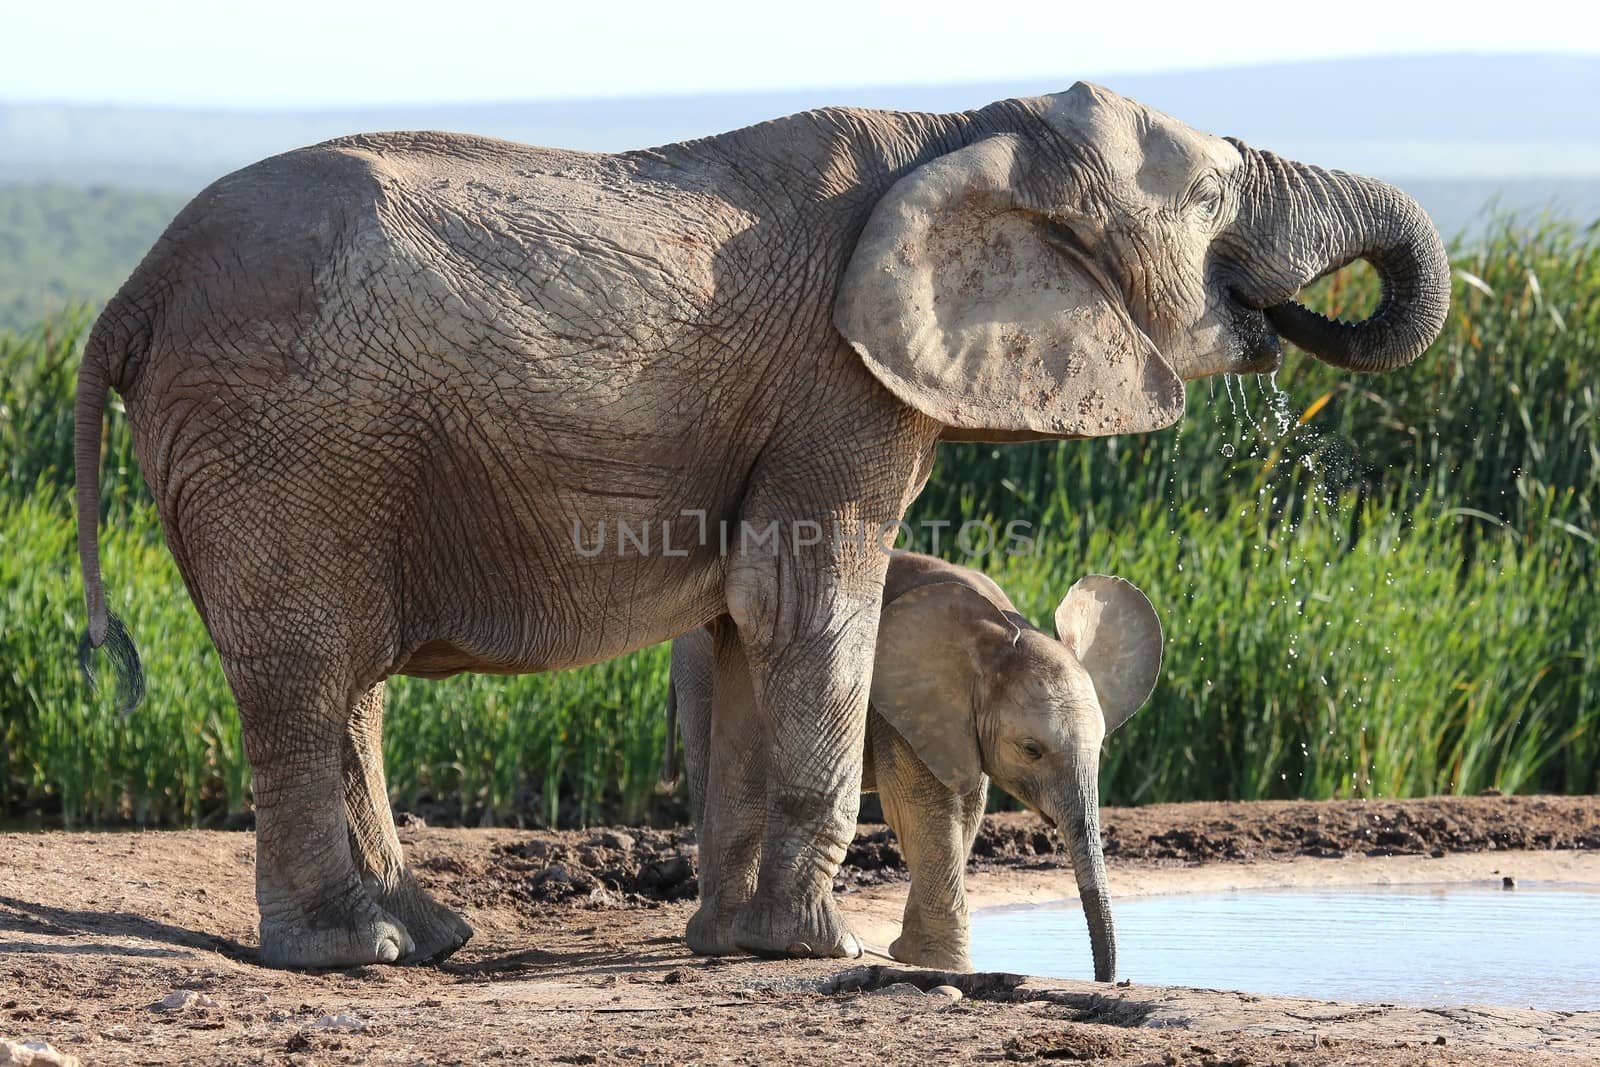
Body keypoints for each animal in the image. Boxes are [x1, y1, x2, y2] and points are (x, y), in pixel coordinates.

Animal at [665, 556, 1164, 979]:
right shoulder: (904, 698)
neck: (1004, 629)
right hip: (698, 659)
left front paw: (912, 956)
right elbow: (920, 807)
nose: (1111, 980)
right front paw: (947, 967)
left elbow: (965, 810)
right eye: (1031, 749)